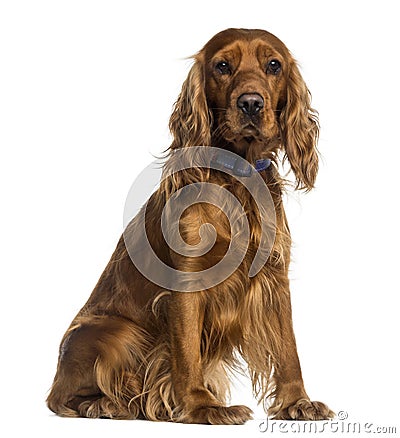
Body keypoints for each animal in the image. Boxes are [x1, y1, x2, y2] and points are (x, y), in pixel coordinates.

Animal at [47, 28, 334, 424]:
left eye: (274, 65)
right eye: (222, 66)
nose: (250, 103)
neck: (238, 176)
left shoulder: (275, 277)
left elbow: (288, 348)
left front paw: (297, 401)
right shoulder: (186, 281)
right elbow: (186, 354)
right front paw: (201, 405)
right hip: (113, 332)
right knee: (62, 398)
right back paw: (105, 404)